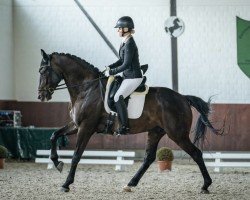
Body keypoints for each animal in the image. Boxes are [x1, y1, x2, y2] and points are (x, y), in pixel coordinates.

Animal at [37, 49, 223, 194]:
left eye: (43, 71)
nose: (41, 96)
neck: (86, 88)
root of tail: (183, 97)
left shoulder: (86, 127)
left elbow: (76, 155)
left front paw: (66, 184)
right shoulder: (76, 125)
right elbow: (54, 135)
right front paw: (57, 162)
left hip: (177, 134)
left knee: (196, 153)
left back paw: (205, 186)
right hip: (156, 131)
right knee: (149, 158)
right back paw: (130, 184)